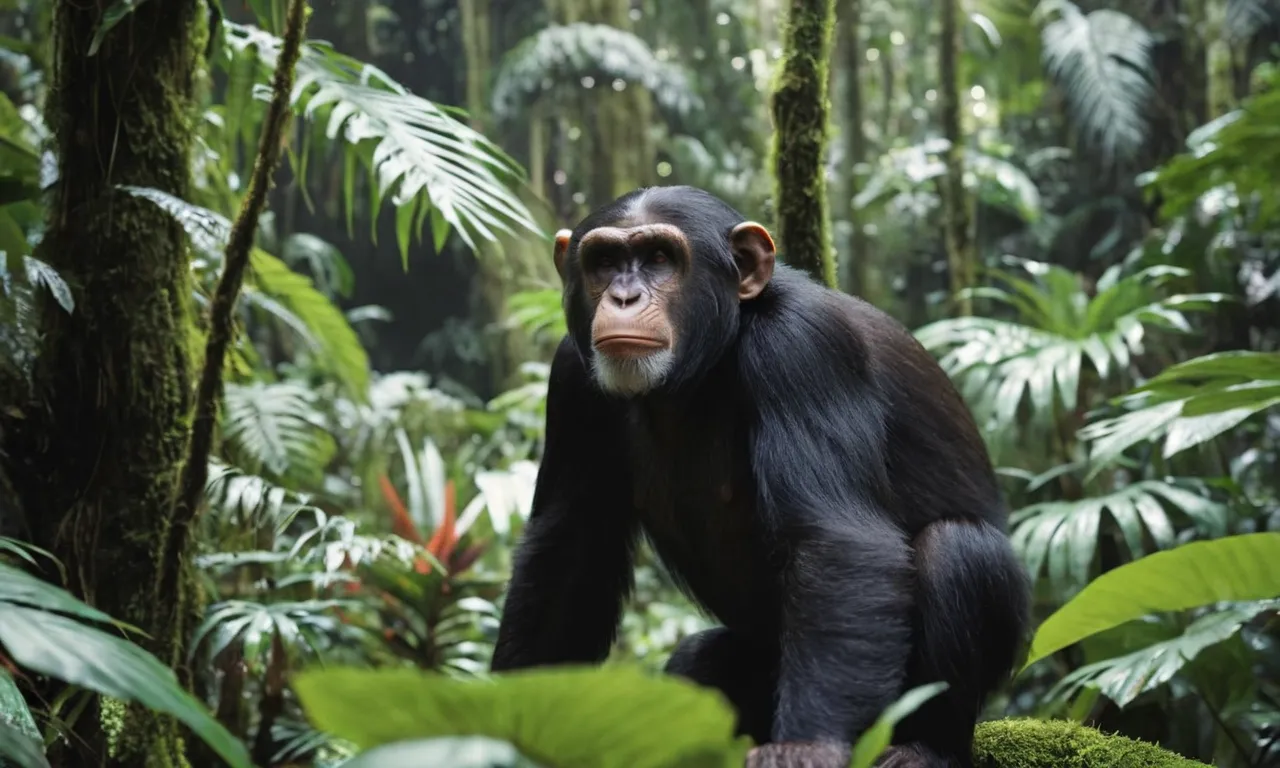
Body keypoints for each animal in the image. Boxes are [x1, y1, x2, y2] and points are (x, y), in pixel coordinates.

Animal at [488, 185, 1029, 768]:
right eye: (604, 262)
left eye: (659, 258)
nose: (624, 296)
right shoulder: (571, 374)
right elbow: (566, 549)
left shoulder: (802, 349)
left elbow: (836, 538)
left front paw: (805, 747)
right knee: (698, 660)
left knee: (958, 552)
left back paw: (928, 747)